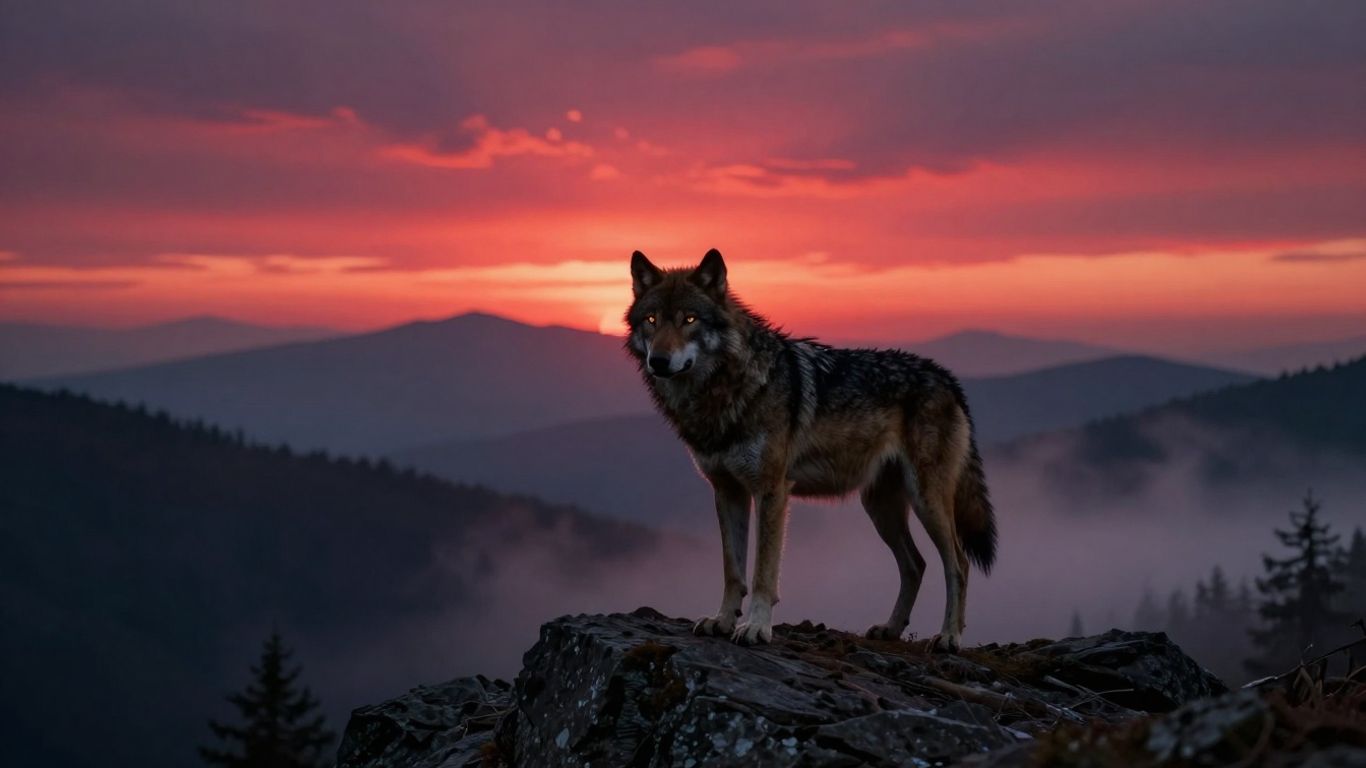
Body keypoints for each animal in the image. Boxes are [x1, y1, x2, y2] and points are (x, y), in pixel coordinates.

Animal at [624, 249, 997, 651]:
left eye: (689, 320)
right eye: (651, 320)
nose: (659, 361)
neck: (727, 390)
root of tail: (946, 377)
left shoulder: (772, 491)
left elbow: (763, 573)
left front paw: (756, 627)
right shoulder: (727, 491)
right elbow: (732, 569)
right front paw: (722, 621)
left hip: (926, 500)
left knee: (957, 563)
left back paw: (948, 636)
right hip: (879, 507)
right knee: (916, 564)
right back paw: (891, 628)